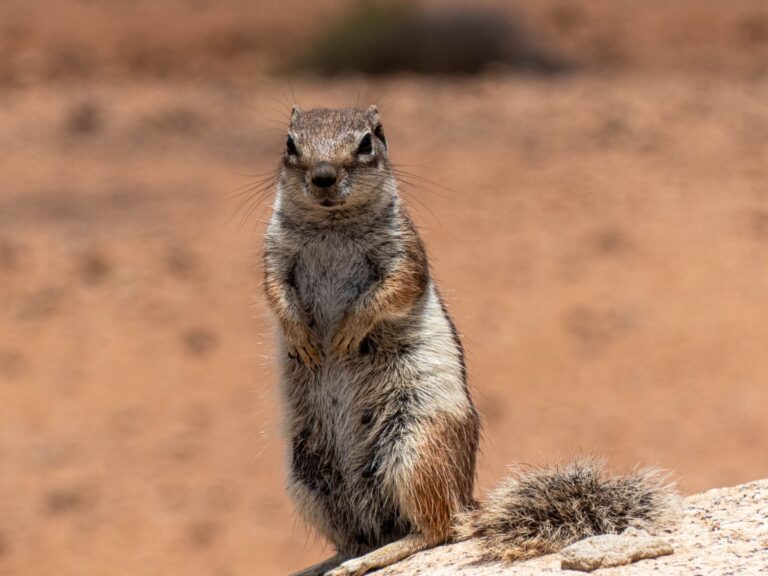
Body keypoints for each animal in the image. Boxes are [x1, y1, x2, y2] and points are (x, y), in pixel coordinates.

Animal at [262, 106, 677, 576]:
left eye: (367, 142)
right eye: (290, 143)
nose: (324, 176)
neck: (331, 224)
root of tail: (466, 498)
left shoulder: (406, 254)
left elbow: (394, 290)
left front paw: (348, 330)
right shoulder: (274, 254)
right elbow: (275, 291)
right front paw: (303, 338)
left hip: (416, 447)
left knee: (436, 529)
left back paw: (373, 557)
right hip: (310, 478)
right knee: (357, 537)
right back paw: (328, 562)